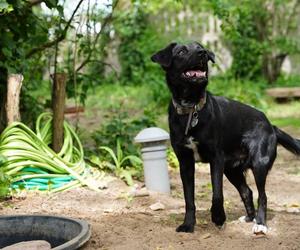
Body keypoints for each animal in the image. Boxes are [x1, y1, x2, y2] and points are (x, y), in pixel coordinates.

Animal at [151, 41, 300, 234]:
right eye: (182, 51)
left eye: (200, 48)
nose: (202, 53)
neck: (192, 108)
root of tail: (270, 125)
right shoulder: (185, 162)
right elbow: (189, 199)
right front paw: (188, 224)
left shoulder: (216, 159)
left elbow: (217, 194)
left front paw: (218, 217)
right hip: (232, 170)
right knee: (247, 192)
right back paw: (249, 218)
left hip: (258, 164)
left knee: (263, 196)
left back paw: (260, 223)